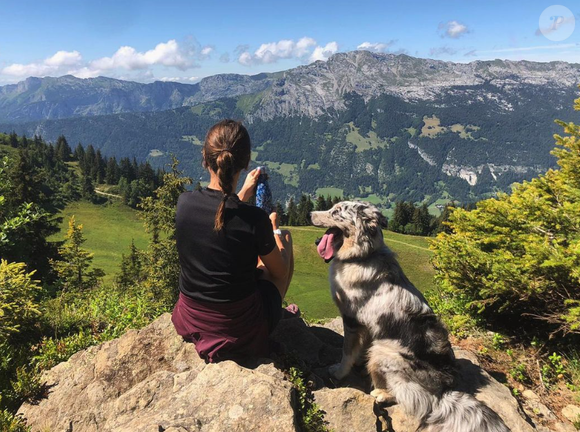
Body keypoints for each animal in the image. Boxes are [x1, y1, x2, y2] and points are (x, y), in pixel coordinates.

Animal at [312, 202, 508, 432]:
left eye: (336, 212)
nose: (310, 214)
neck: (362, 256)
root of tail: (443, 392)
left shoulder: (352, 320)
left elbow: (347, 352)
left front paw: (338, 372)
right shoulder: (368, 327)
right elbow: (357, 350)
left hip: (382, 351)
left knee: (413, 397)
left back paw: (381, 394)